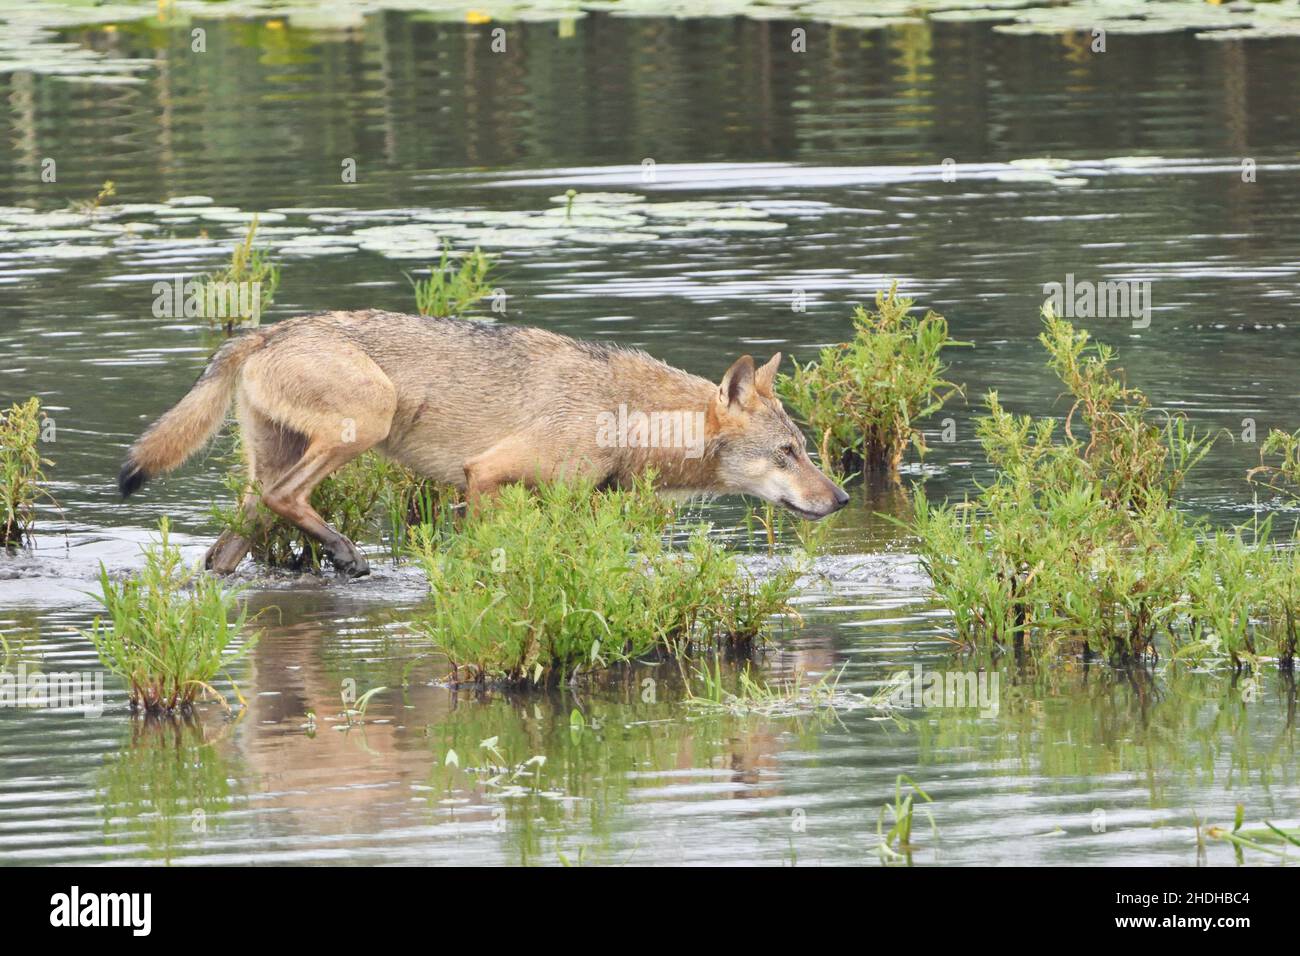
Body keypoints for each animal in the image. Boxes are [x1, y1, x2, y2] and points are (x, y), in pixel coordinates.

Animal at [119, 310, 852, 574]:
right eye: (788, 453)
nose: (842, 499)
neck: (625, 412)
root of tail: (265, 333)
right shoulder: (484, 477)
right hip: (368, 420)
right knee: (284, 499)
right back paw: (348, 555)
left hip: (266, 476)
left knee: (223, 551)